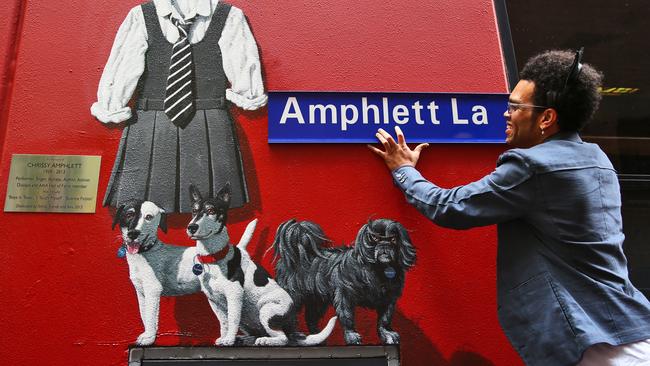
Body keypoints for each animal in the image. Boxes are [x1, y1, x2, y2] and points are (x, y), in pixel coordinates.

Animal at [270, 219, 416, 344]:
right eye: (374, 238)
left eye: (393, 239)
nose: (384, 245)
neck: (378, 268)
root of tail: (298, 250)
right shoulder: (345, 296)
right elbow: (347, 316)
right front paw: (352, 336)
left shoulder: (388, 299)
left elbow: (385, 319)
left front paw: (387, 334)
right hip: (294, 296)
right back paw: (294, 335)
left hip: (317, 301)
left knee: (311, 318)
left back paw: (317, 337)